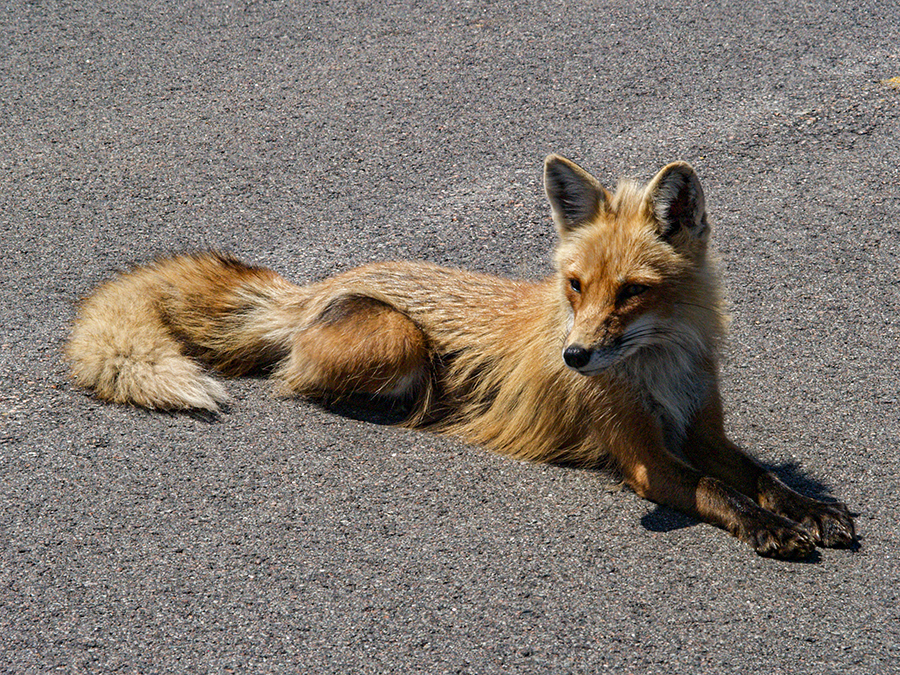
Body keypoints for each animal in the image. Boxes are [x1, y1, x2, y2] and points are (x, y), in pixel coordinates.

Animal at [67, 154, 856, 560]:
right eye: (575, 285)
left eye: (631, 292)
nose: (575, 356)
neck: (657, 370)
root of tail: (314, 285)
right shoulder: (645, 460)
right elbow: (720, 492)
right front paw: (771, 527)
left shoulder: (703, 430)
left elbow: (761, 475)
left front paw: (811, 509)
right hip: (402, 342)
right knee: (299, 380)